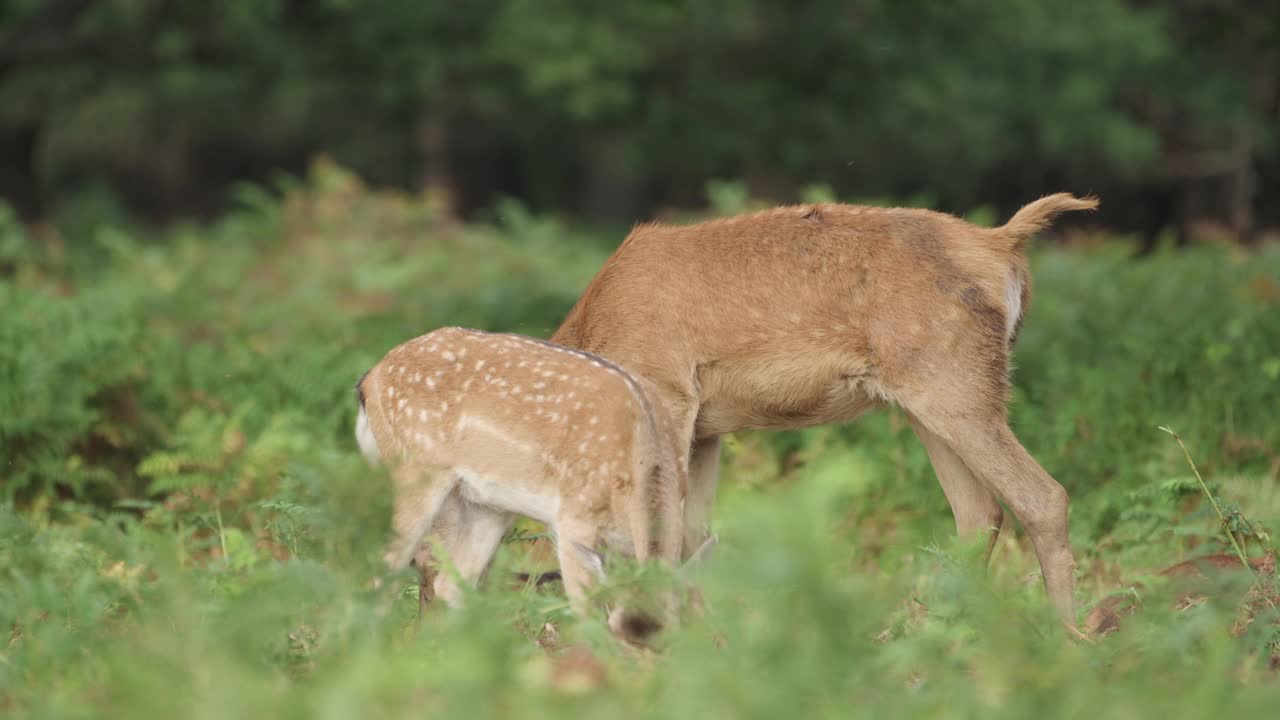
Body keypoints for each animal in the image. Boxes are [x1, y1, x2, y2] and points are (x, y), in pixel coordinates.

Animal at [355, 325, 696, 627]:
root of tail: (371, 377)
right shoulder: (573, 516)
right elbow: (585, 611)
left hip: (489, 506)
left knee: (449, 585)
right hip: (414, 471)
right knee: (381, 576)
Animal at [550, 193, 1100, 625]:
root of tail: (1002, 244)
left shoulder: (667, 390)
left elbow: (663, 533)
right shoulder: (706, 429)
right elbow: (694, 536)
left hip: (953, 381)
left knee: (1042, 497)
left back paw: (1066, 637)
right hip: (929, 398)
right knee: (979, 512)